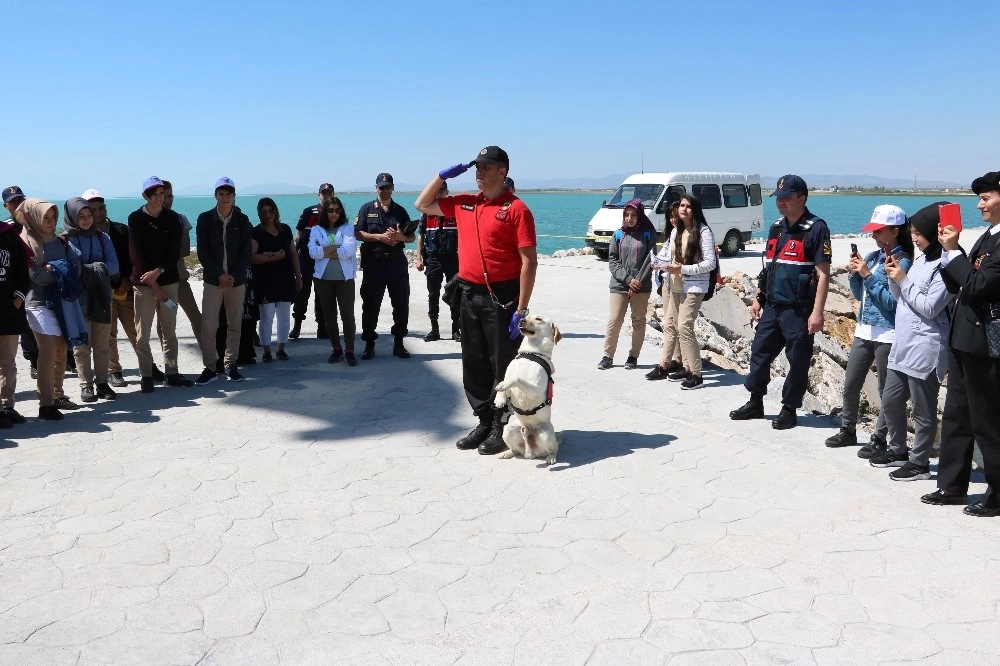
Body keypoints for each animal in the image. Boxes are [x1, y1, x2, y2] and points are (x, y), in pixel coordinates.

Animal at [494, 314, 564, 464]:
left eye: (539, 319)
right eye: (527, 316)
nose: (521, 320)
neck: (530, 353)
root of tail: (530, 452)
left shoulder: (535, 389)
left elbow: (516, 379)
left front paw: (504, 387)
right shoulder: (508, 375)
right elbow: (504, 380)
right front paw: (499, 398)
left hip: (546, 435)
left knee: (553, 449)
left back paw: (551, 458)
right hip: (508, 430)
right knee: (515, 450)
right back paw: (507, 453)